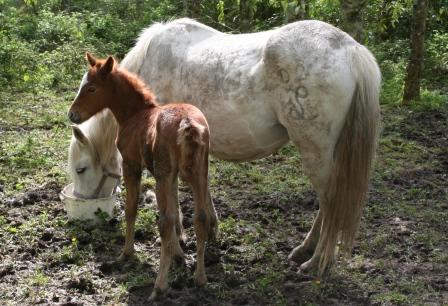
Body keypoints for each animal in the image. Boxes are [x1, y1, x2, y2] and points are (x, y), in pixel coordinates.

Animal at [68, 53, 219, 298]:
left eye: (91, 88)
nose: (72, 114)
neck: (136, 115)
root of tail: (187, 124)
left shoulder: (132, 166)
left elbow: (131, 209)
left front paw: (126, 253)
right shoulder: (173, 176)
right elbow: (176, 211)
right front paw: (179, 255)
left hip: (163, 175)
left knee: (164, 222)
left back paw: (159, 286)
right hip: (199, 172)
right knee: (201, 217)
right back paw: (200, 278)